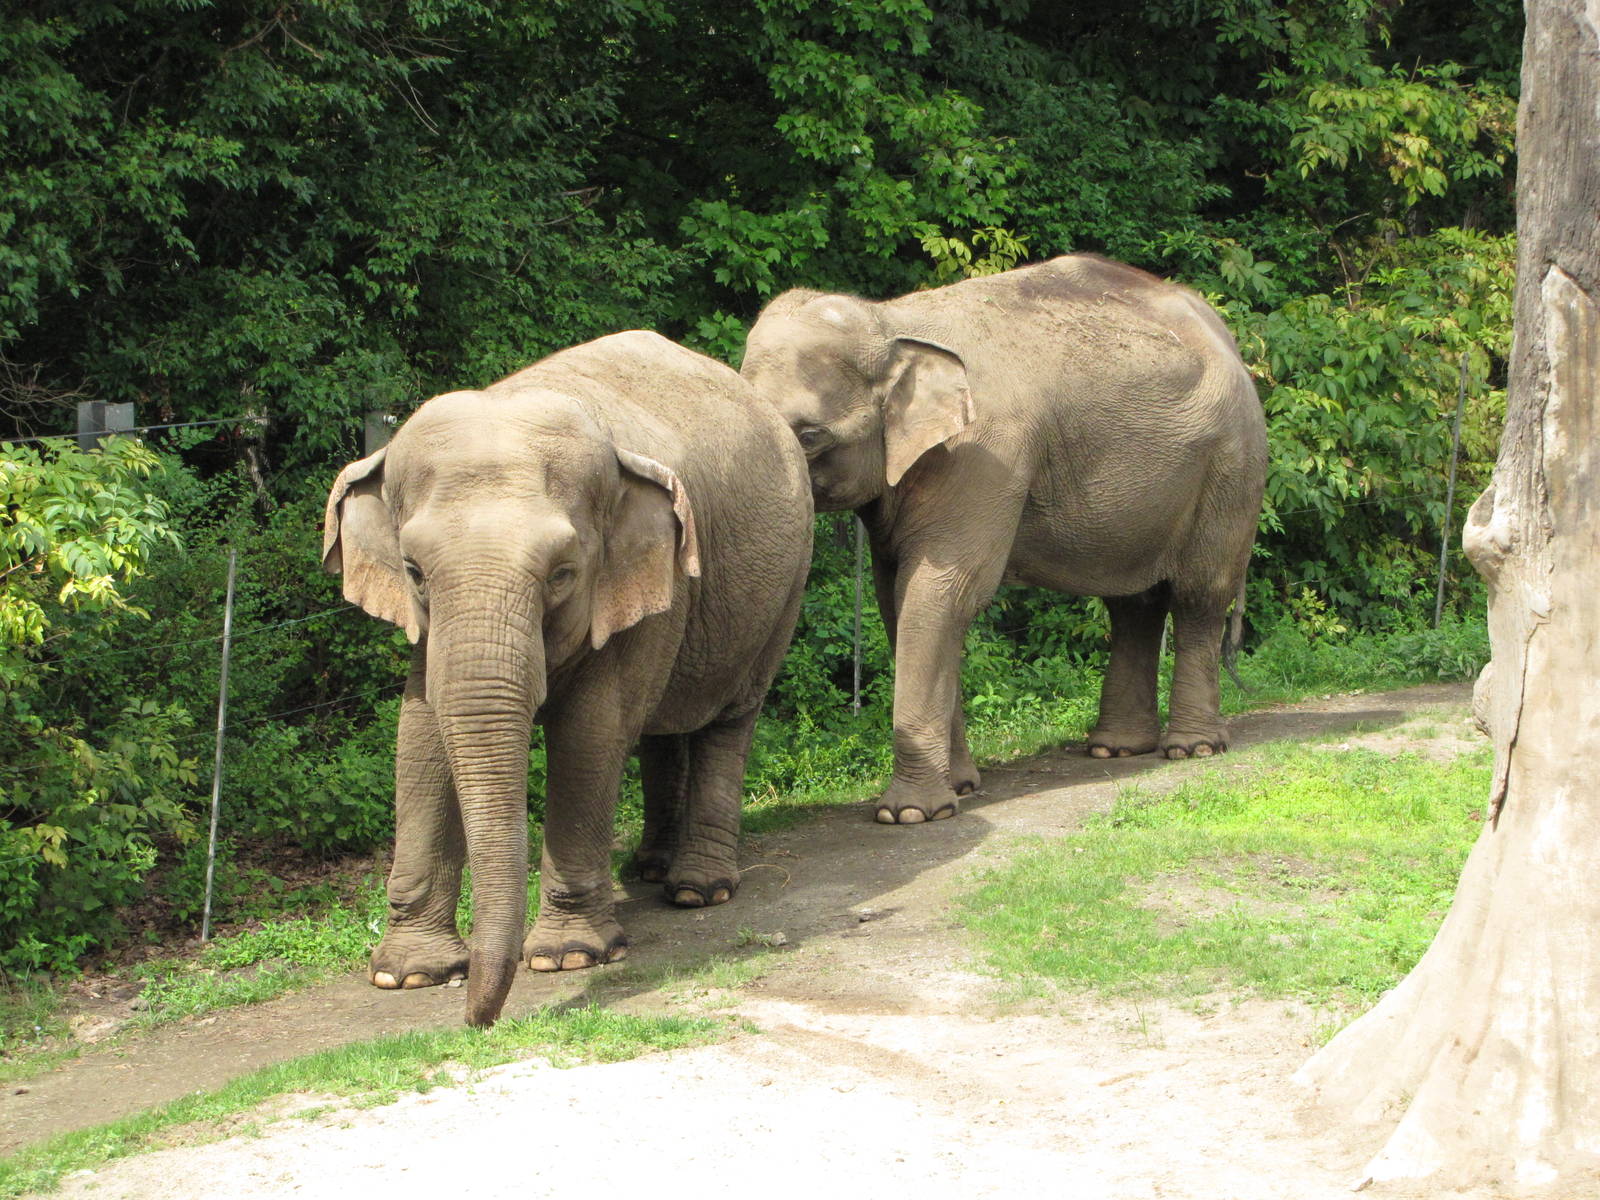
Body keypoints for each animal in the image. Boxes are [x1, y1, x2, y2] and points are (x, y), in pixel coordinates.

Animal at [323, 331, 813, 1026]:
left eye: (561, 574)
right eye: (414, 571)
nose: (478, 1025)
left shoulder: (642, 576)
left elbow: (590, 731)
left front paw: (568, 958)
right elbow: (419, 733)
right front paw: (408, 975)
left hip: (783, 586)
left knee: (728, 718)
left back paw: (698, 890)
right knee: (661, 727)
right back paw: (648, 870)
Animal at [740, 254, 1266, 825]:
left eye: (810, 436)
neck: (892, 320)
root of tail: (1223, 332)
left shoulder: (985, 456)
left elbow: (944, 592)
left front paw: (909, 815)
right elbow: (897, 601)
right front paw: (961, 787)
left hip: (1231, 466)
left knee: (1199, 595)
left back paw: (1192, 748)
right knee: (1135, 604)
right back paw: (1117, 748)